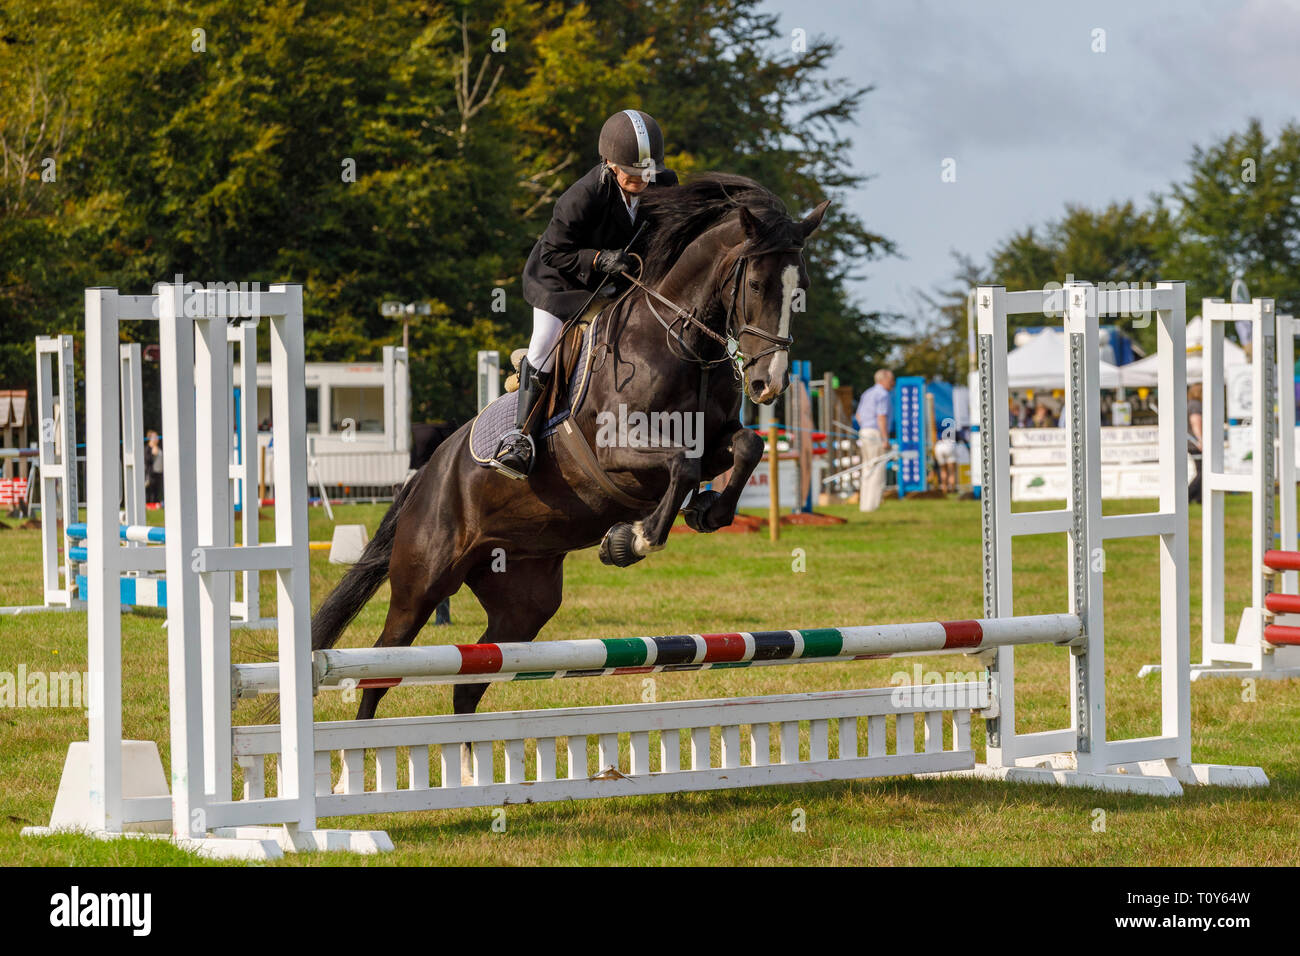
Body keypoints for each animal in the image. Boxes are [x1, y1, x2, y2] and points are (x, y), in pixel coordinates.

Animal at [309, 175, 826, 723]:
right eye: (756, 286)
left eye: (800, 290)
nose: (768, 383)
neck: (683, 343)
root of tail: (424, 478)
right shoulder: (615, 450)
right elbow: (681, 467)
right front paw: (630, 541)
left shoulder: (713, 440)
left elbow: (747, 445)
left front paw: (707, 511)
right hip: (422, 582)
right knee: (381, 667)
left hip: (523, 602)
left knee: (470, 682)